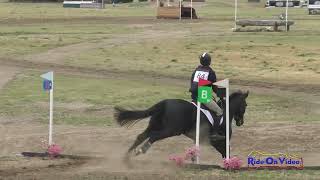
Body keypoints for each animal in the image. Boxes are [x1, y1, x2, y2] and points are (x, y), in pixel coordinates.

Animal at [114, 90, 249, 158]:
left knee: (141, 136)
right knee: (153, 137)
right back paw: (140, 151)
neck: (226, 113)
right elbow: (227, 150)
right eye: (246, 105)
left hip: (155, 125)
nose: (241, 122)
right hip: (170, 130)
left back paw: (126, 159)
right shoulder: (219, 140)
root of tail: (164, 103)